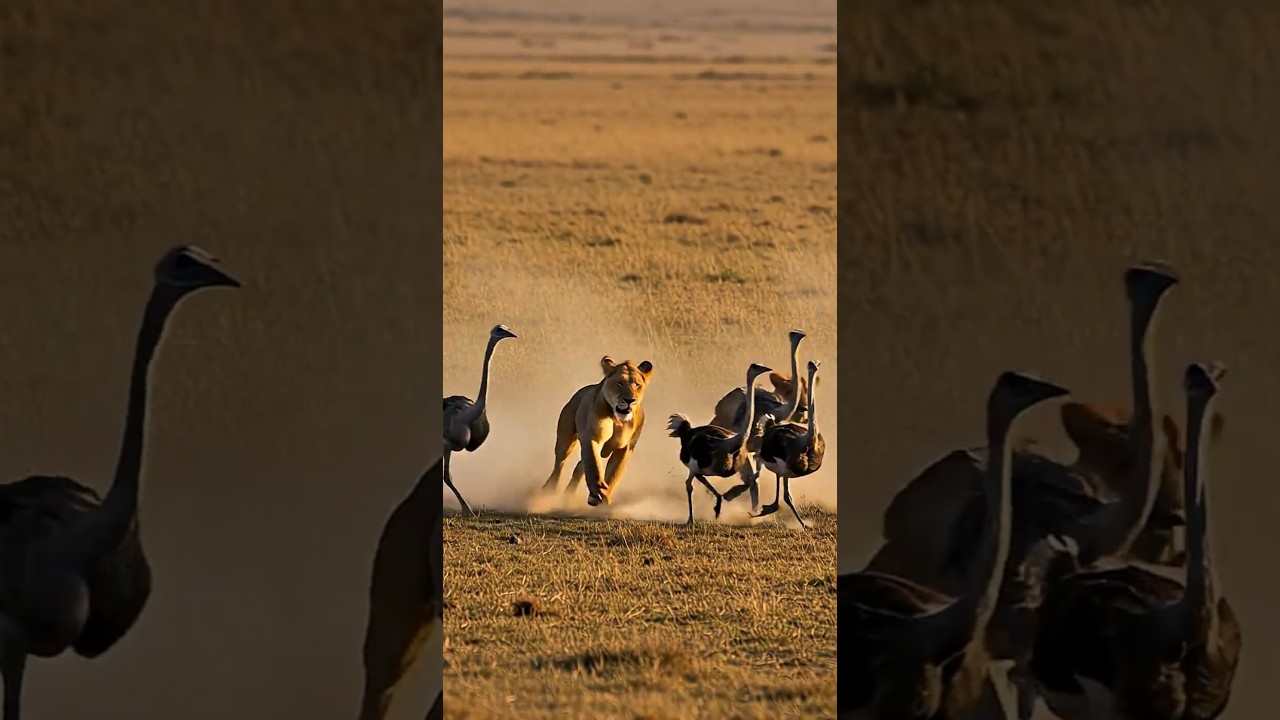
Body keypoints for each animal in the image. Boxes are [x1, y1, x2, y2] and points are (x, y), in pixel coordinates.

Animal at [540, 355, 654, 507]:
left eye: (637, 385)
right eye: (619, 383)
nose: (630, 400)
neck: (617, 419)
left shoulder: (625, 447)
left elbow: (614, 473)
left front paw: (604, 496)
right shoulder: (592, 437)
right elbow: (594, 465)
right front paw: (598, 492)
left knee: (580, 465)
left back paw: (569, 493)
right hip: (565, 440)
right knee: (560, 464)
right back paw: (549, 490)